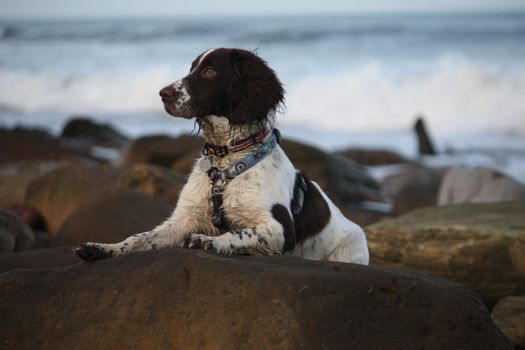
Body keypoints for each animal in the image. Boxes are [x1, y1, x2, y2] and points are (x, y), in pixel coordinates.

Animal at [75, 47, 368, 264]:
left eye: (210, 71)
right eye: (192, 67)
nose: (163, 93)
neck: (227, 162)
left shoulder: (281, 229)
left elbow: (239, 233)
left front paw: (207, 240)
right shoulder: (183, 219)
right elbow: (139, 238)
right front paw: (103, 247)